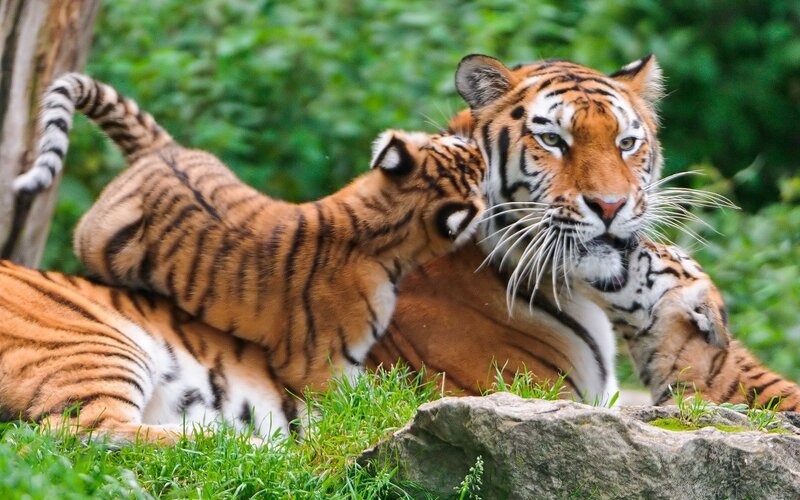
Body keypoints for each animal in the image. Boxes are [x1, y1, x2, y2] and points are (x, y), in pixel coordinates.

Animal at [13, 73, 486, 399]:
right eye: (470, 159)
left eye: (458, 146)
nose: (475, 138)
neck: (379, 217)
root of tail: (161, 151)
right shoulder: (323, 365)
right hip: (94, 243)